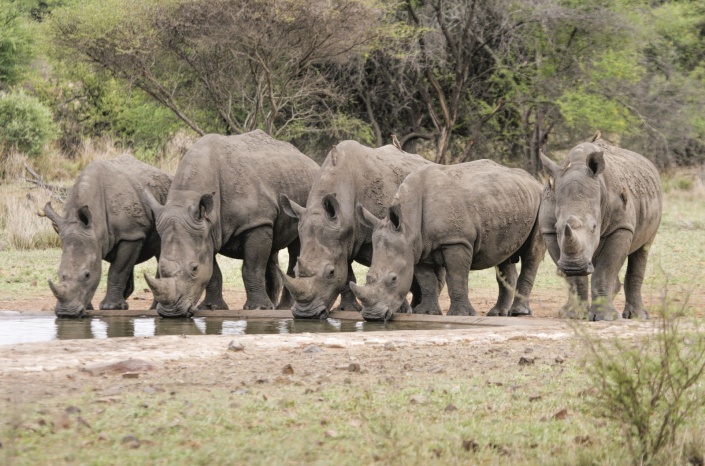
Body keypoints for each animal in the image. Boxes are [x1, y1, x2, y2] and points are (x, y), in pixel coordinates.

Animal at [42, 154, 171, 317]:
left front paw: (110, 307)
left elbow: (118, 270)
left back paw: (152, 308)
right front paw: (92, 308)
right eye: (59, 274)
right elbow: (120, 268)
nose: (66, 313)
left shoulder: (131, 235)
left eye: (87, 275)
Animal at [142, 130, 319, 318]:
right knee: (272, 247)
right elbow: (213, 272)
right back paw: (271, 305)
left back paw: (282, 307)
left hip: (302, 201)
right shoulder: (206, 230)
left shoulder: (254, 222)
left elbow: (252, 267)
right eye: (161, 269)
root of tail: (309, 160)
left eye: (194, 269)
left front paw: (257, 309)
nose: (171, 313)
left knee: (295, 246)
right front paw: (211, 307)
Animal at [279, 141, 444, 319]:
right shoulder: (343, 241)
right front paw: (347, 309)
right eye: (295, 271)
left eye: (331, 272)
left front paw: (400, 310)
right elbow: (348, 276)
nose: (305, 315)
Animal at [349, 160, 546, 321]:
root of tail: (535, 181)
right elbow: (427, 281)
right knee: (504, 256)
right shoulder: (416, 248)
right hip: (506, 201)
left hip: (541, 201)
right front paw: (427, 313)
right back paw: (497, 314)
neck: (408, 225)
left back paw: (519, 313)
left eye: (393, 279)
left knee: (532, 254)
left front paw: (461, 314)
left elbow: (456, 277)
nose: (372, 316)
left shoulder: (456, 241)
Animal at [539, 139, 662, 321]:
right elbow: (574, 279)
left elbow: (605, 270)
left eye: (594, 227)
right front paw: (573, 315)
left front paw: (606, 317)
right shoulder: (548, 230)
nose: (574, 266)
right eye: (557, 227)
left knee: (643, 249)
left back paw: (637, 316)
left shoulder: (620, 227)